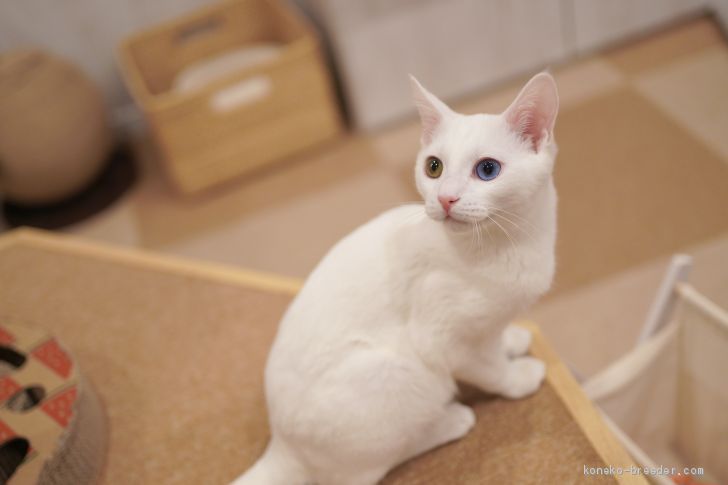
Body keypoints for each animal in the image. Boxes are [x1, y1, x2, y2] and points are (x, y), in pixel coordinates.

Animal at [233, 73, 556, 484]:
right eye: (433, 167)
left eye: (487, 170)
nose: (445, 198)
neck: (513, 243)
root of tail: (281, 445)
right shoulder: (445, 341)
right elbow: (492, 370)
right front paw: (518, 378)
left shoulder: (490, 322)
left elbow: (496, 338)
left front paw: (511, 340)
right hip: (401, 374)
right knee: (370, 468)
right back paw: (450, 421)